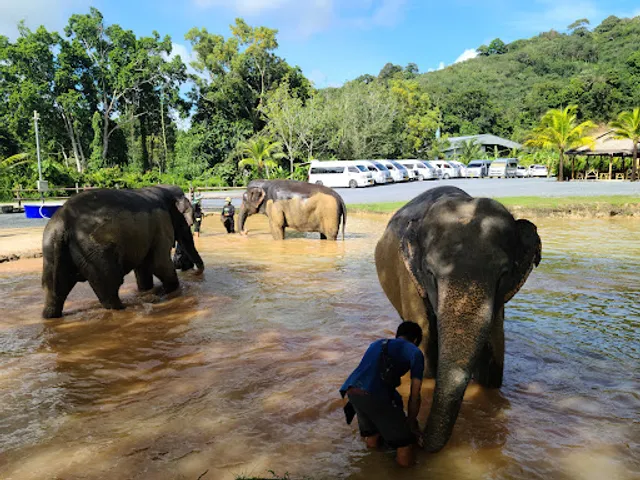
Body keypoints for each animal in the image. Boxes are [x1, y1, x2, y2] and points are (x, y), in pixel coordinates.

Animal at [42, 185, 205, 319]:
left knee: (54, 291)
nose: (196, 272)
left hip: (52, 248)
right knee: (110, 287)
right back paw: (123, 308)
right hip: (96, 252)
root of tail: (62, 222)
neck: (164, 191)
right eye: (187, 222)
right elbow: (158, 264)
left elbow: (144, 268)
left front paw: (148, 291)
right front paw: (170, 290)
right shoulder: (161, 223)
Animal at [374, 186, 541, 453]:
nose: (418, 434)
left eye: (503, 274)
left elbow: (496, 342)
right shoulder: (409, 278)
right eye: (430, 273)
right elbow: (423, 339)